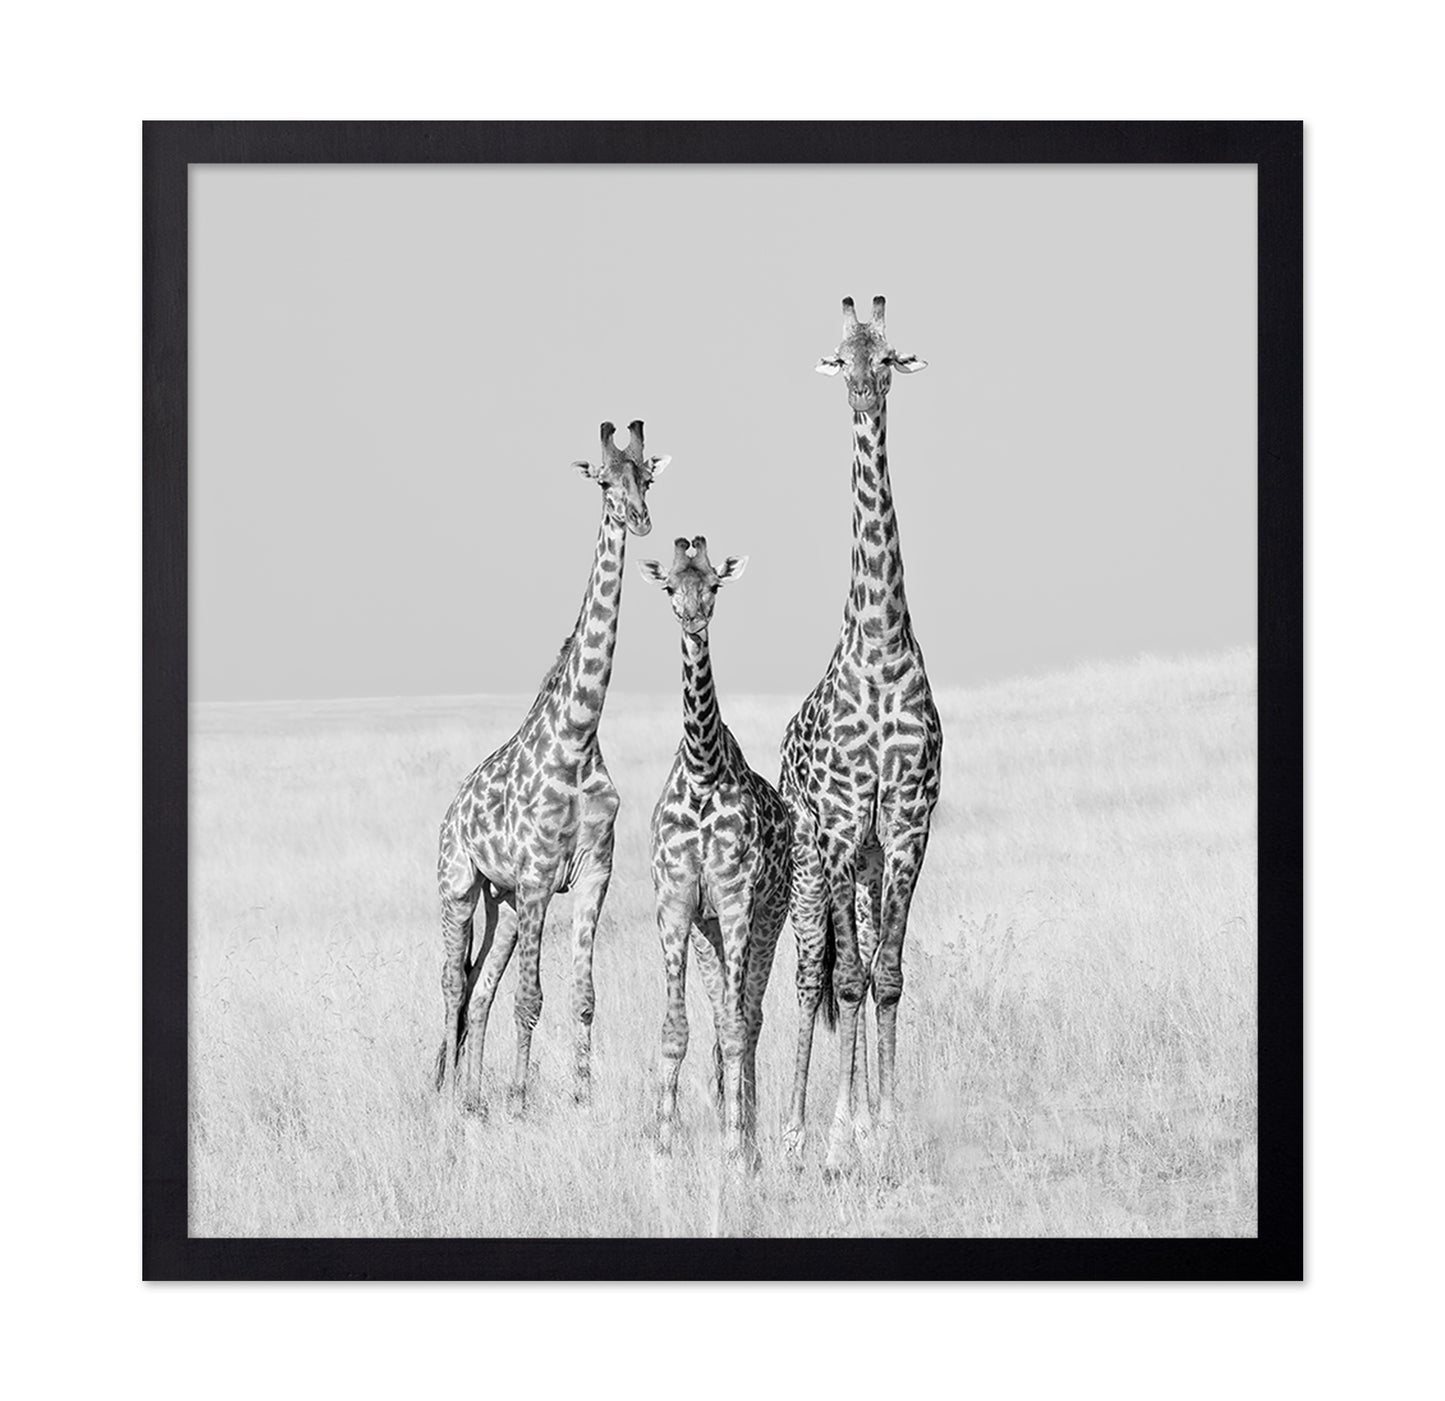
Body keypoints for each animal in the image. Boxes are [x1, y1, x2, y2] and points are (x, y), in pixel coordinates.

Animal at [434, 420, 669, 1114]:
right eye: (604, 480)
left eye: (647, 476)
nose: (640, 518)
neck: (578, 736)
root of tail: (452, 810)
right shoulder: (540, 877)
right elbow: (531, 996)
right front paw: (520, 1098)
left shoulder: (593, 872)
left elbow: (582, 996)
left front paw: (580, 1097)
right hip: (460, 886)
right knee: (453, 985)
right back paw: (453, 1095)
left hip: (504, 903)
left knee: (479, 988)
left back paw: (472, 1098)